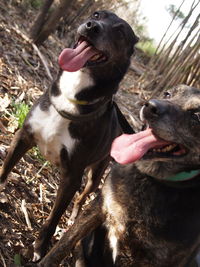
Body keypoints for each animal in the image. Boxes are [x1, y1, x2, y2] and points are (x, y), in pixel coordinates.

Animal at [0, 10, 138, 262]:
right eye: (97, 14)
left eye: (120, 32)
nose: (92, 26)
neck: (71, 98)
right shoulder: (23, 138)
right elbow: (5, 170)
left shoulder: (72, 176)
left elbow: (53, 219)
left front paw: (40, 247)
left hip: (95, 175)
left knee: (84, 195)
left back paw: (74, 215)